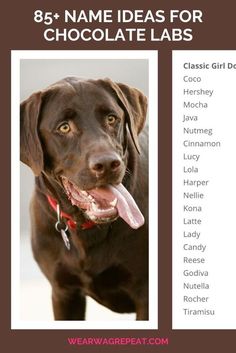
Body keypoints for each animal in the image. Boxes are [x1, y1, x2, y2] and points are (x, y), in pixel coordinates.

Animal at [19, 77, 148, 320]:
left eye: (111, 118)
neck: (87, 228)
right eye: (64, 127)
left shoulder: (145, 295)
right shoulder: (64, 293)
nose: (107, 163)